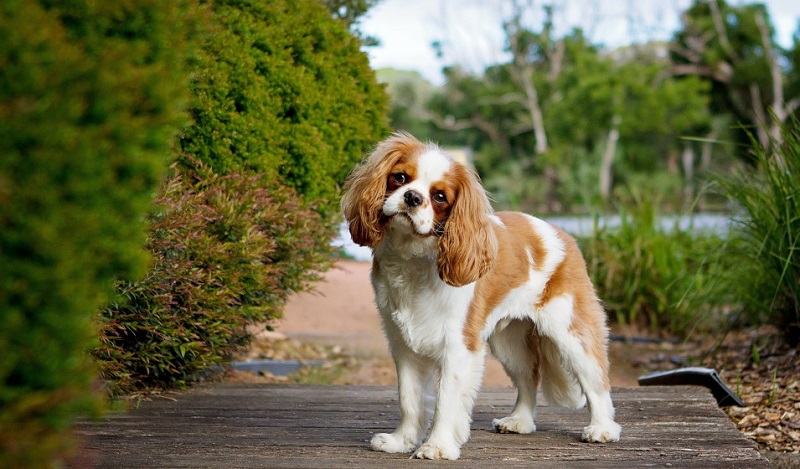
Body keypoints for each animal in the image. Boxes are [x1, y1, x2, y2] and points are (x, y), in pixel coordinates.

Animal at [340, 131, 620, 458]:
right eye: (400, 178)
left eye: (440, 197)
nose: (412, 197)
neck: (413, 258)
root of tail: (562, 233)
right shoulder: (404, 346)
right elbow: (409, 399)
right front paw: (402, 441)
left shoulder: (459, 346)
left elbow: (446, 401)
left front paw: (437, 446)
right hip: (509, 342)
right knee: (529, 377)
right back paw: (519, 421)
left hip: (570, 332)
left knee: (596, 381)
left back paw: (602, 428)